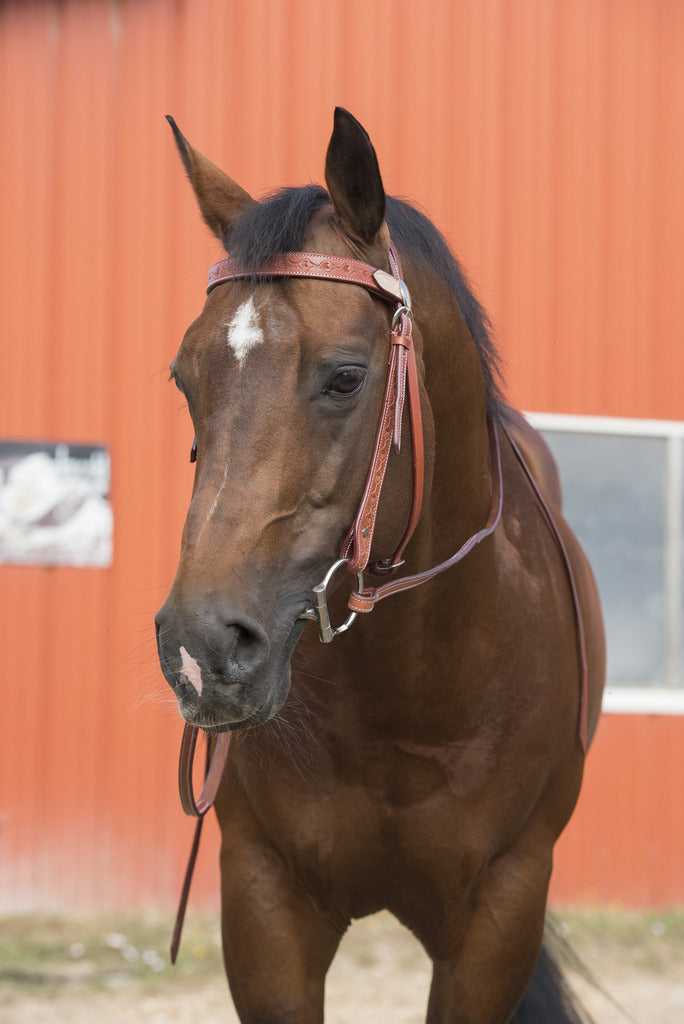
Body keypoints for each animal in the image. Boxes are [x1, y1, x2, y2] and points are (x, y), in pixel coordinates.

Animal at [156, 108, 602, 1019]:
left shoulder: (499, 916)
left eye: (345, 377)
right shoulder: (266, 905)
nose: (199, 649)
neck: (411, 689)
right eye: (185, 379)